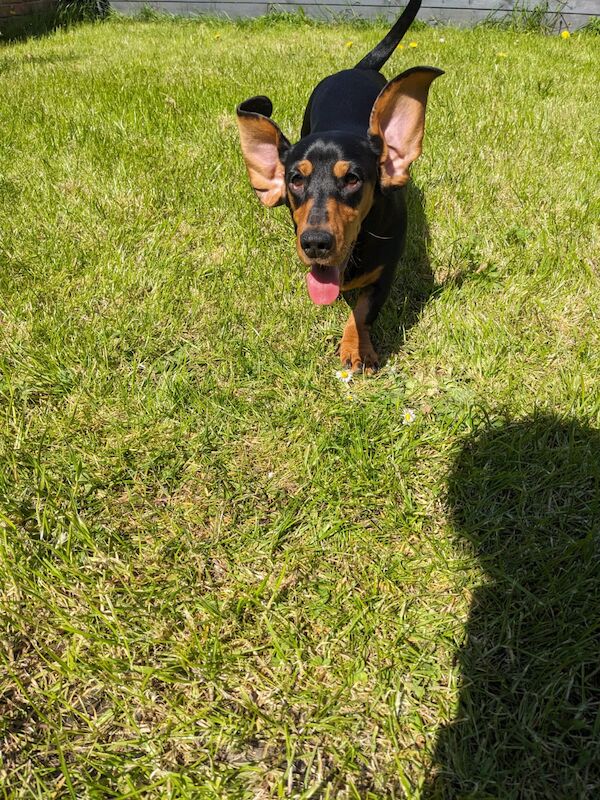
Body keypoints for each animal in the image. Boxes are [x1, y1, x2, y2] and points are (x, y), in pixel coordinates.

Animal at [237, 0, 442, 376]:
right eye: (296, 179)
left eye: (353, 179)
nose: (315, 243)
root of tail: (358, 67)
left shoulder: (385, 273)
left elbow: (363, 311)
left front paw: (357, 349)